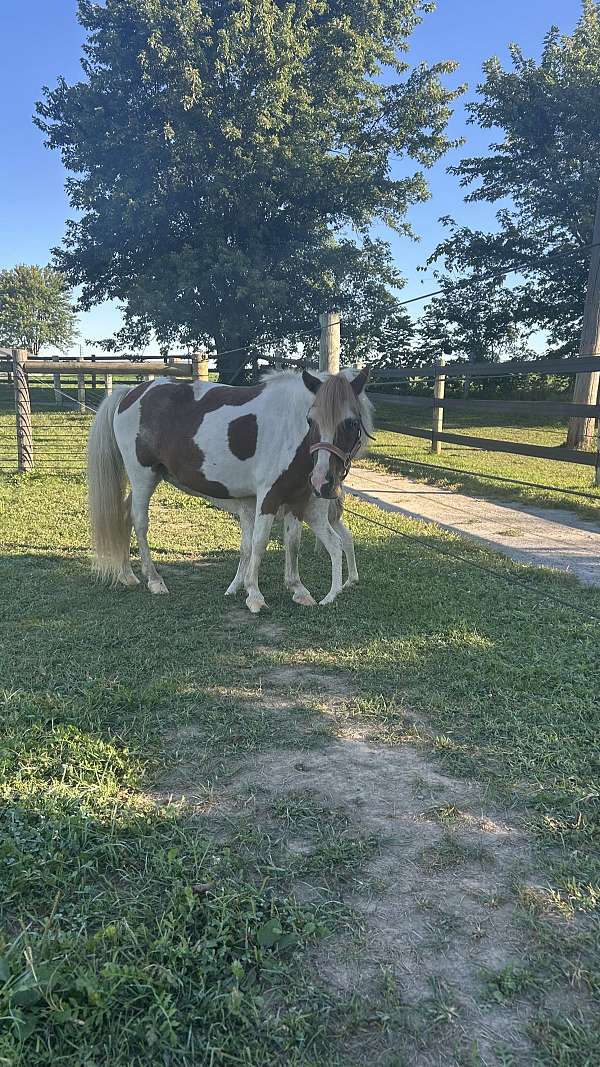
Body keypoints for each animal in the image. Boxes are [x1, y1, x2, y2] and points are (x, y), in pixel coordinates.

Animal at [87, 367, 372, 612]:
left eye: (351, 423)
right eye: (311, 420)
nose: (324, 481)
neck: (291, 428)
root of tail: (131, 393)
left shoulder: (295, 499)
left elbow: (292, 542)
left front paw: (298, 589)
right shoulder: (268, 496)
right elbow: (259, 542)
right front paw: (254, 595)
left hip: (150, 477)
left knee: (123, 515)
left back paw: (127, 575)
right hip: (142, 476)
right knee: (140, 521)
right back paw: (154, 580)